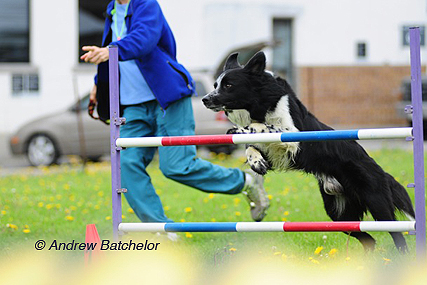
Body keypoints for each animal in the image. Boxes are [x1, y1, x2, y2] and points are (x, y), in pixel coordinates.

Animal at [202, 52, 416, 252]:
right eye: (215, 84)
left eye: (228, 85)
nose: (205, 99)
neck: (259, 103)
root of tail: (382, 172)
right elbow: (251, 148)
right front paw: (257, 162)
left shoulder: (293, 136)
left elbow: (264, 127)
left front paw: (243, 129)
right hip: (339, 215)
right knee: (368, 239)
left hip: (376, 200)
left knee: (397, 236)